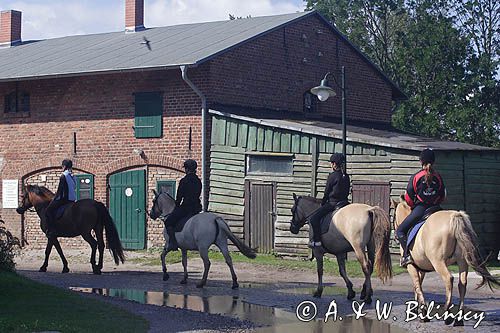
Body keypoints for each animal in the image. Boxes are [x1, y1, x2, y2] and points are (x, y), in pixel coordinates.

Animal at [392, 195, 498, 324]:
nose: (395, 236)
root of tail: (454, 216)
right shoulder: (420, 268)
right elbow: (418, 286)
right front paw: (416, 309)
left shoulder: (411, 266)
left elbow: (417, 285)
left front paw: (422, 313)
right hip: (462, 261)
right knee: (462, 283)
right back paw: (458, 319)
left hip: (438, 262)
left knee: (448, 279)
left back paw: (447, 314)